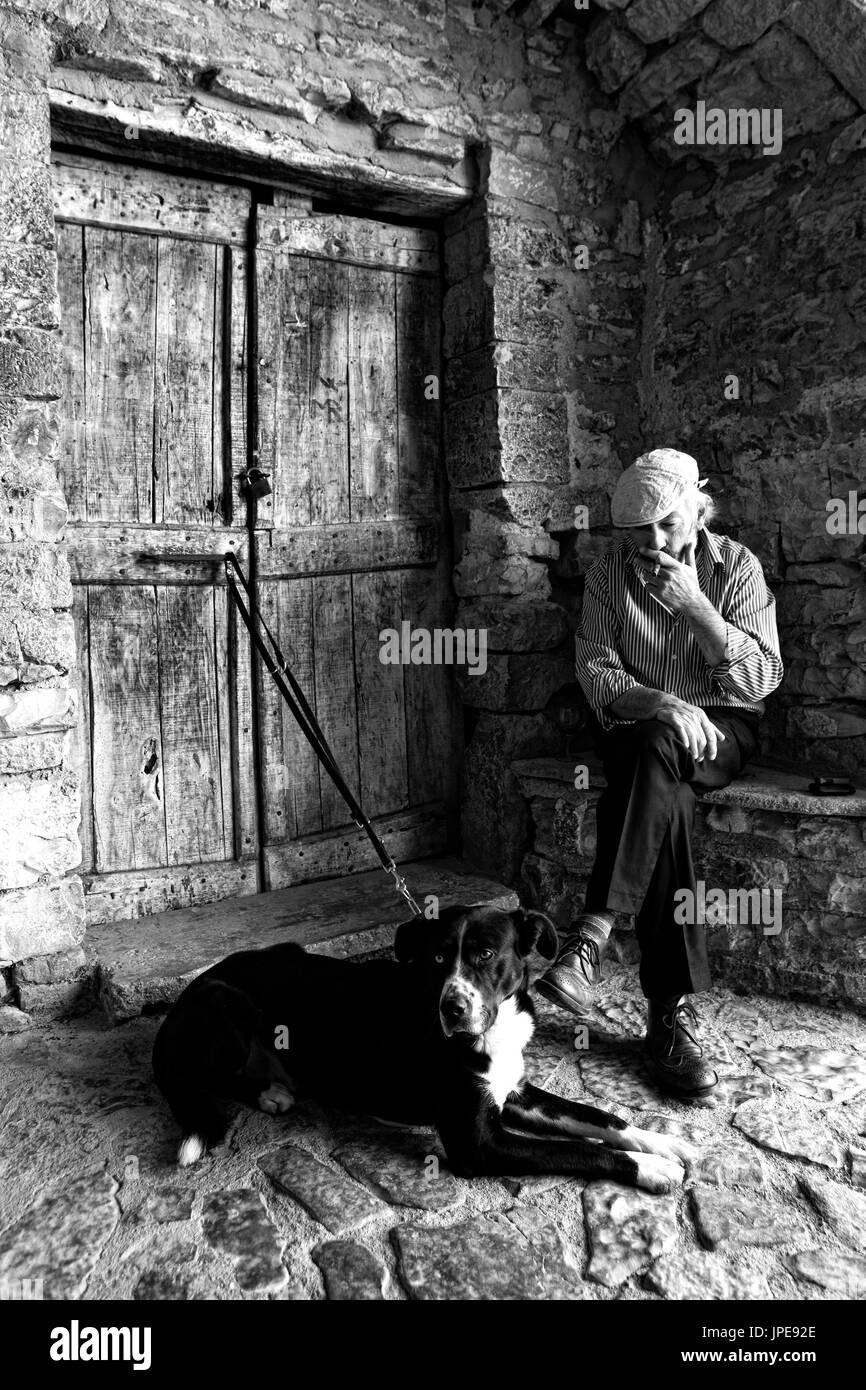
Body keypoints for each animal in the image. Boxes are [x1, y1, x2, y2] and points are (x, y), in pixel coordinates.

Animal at [154, 900, 697, 1195]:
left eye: (485, 954)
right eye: (437, 958)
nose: (452, 1010)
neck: (490, 1033)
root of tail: (179, 1002)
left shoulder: (515, 1093)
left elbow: (600, 1118)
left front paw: (663, 1143)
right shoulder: (478, 1144)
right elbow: (578, 1151)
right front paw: (652, 1169)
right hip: (226, 1001)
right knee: (208, 1078)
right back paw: (269, 1093)